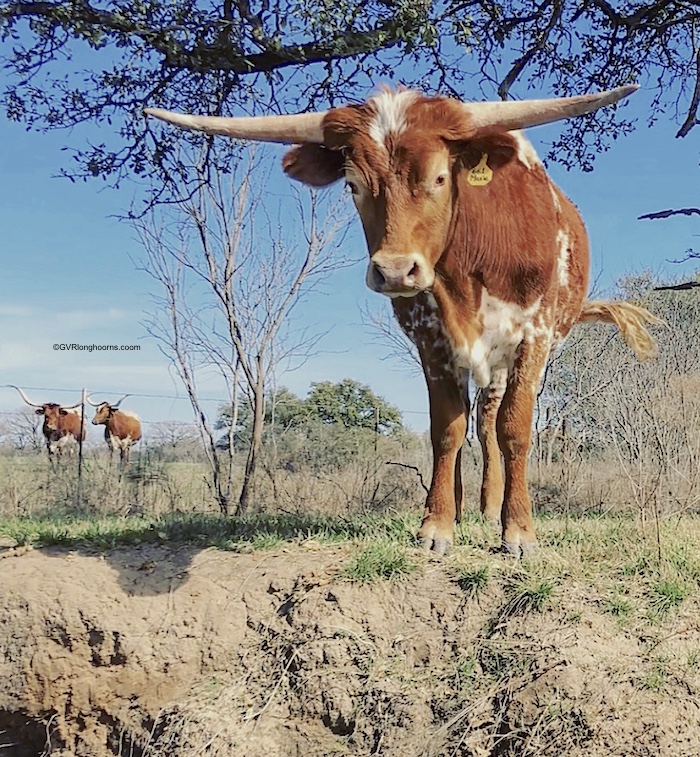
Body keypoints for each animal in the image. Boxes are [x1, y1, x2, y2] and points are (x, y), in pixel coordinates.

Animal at [145, 84, 660, 556]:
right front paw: (437, 524)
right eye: (352, 185)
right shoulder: (431, 341)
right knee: (470, 422)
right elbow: (446, 429)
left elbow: (514, 430)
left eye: (439, 178)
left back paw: (492, 506)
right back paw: (459, 503)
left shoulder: (534, 336)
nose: (394, 271)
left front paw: (518, 531)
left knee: (490, 421)